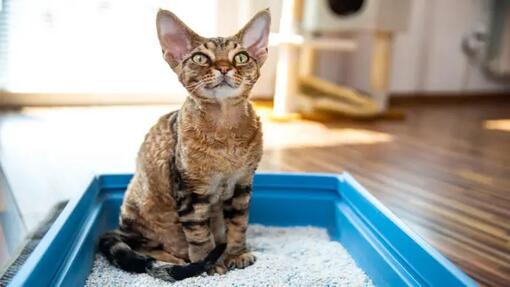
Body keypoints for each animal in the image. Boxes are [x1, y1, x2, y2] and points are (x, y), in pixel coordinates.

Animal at [96, 7, 270, 282]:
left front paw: (236, 253)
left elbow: (239, 224)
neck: (226, 134)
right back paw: (175, 260)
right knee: (144, 248)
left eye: (241, 57)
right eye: (200, 58)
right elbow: (199, 235)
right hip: (142, 213)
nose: (224, 67)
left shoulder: (242, 184)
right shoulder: (190, 191)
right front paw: (207, 264)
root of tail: (120, 228)